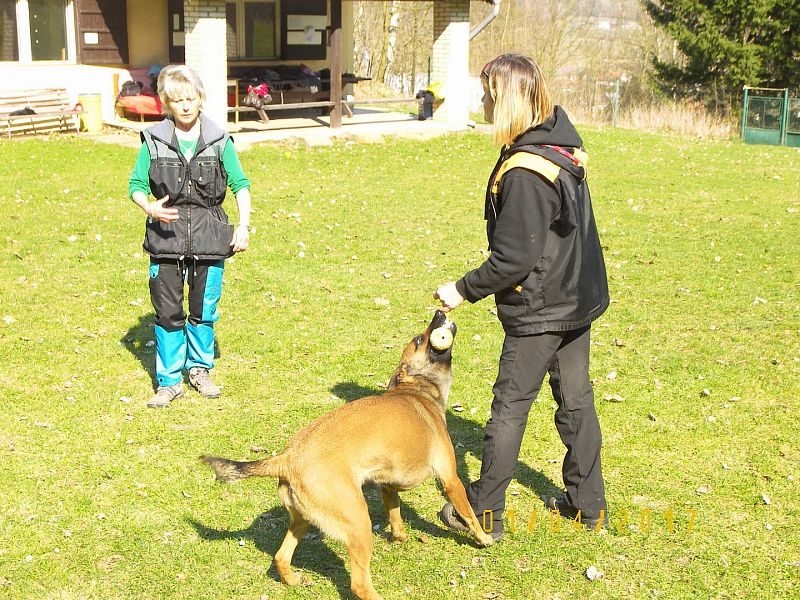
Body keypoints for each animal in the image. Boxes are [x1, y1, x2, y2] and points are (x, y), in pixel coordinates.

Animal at [203, 310, 490, 600]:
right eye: (420, 339)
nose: (440, 312)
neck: (418, 392)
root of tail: (287, 458)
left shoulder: (388, 486)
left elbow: (395, 513)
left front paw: (399, 536)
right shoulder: (450, 480)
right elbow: (469, 514)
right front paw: (484, 538)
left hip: (302, 519)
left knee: (280, 557)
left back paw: (293, 580)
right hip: (357, 522)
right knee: (359, 583)